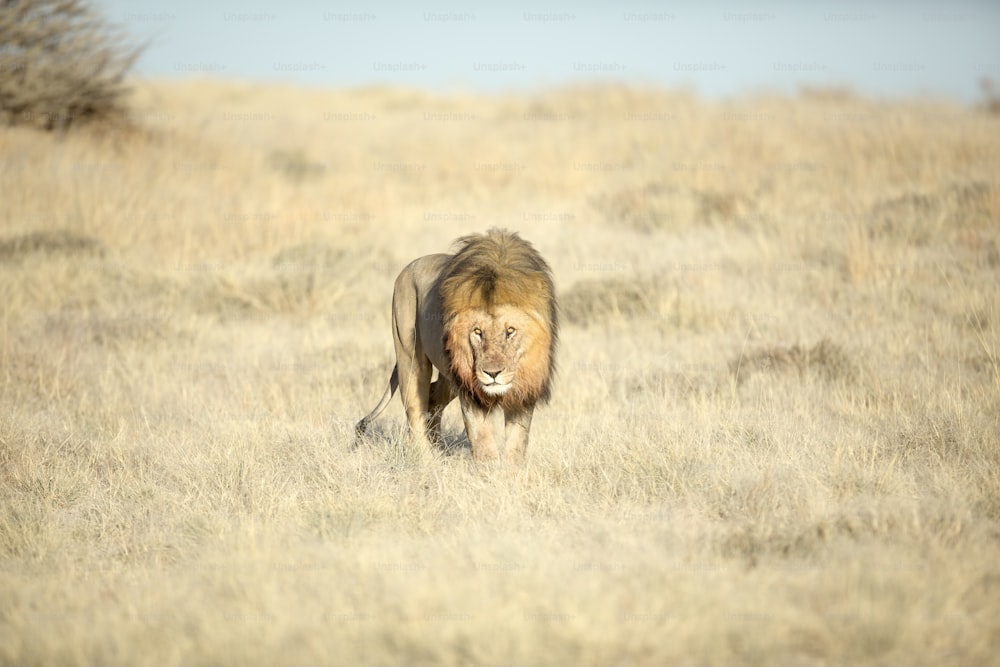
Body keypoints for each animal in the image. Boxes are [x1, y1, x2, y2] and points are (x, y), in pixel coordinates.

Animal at [354, 230, 560, 464]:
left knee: (433, 398)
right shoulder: (471, 392)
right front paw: (489, 472)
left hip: (450, 375)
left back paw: (439, 449)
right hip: (410, 357)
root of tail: (409, 267)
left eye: (510, 331)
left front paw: (510, 472)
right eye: (477, 332)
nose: (493, 374)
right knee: (415, 409)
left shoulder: (525, 389)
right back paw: (428, 461)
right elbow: (482, 442)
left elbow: (517, 443)